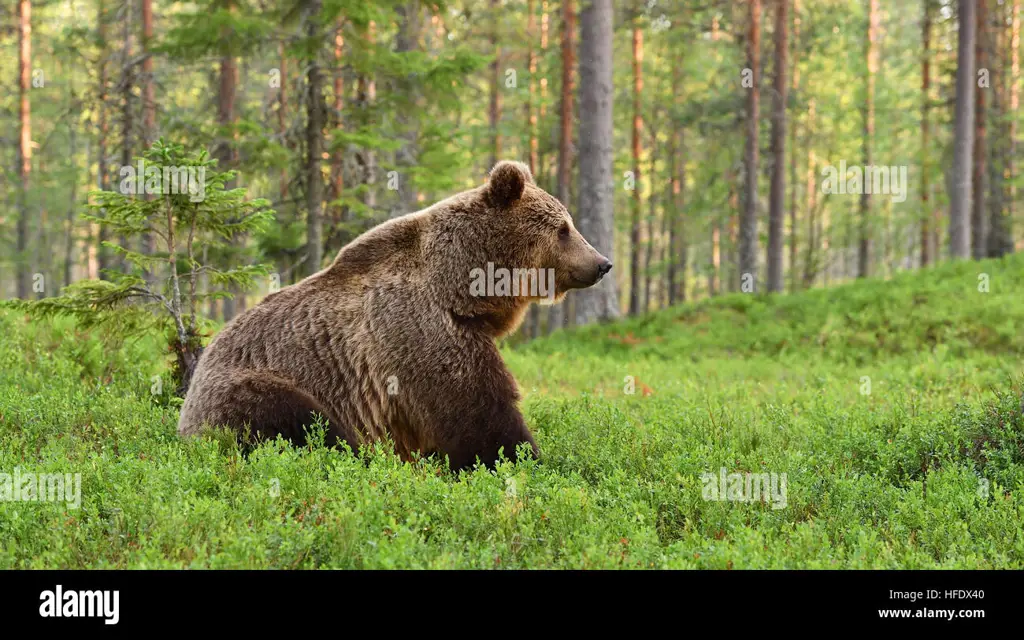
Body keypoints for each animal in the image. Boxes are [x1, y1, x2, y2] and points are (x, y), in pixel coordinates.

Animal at [176, 160, 610, 468]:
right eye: (564, 228)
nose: (602, 263)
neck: (462, 290)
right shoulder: (418, 333)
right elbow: (478, 415)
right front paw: (528, 459)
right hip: (246, 388)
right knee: (300, 420)